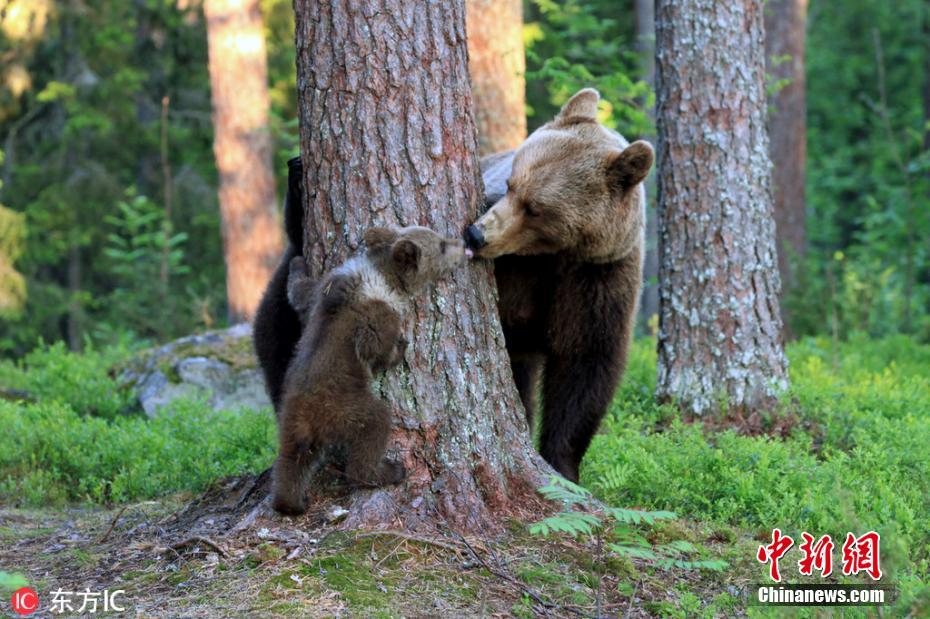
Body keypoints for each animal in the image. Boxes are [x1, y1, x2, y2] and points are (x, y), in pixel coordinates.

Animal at [464, 88, 652, 484]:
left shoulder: (597, 280)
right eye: (511, 184)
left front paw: (562, 466)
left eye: (536, 208)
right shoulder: (518, 276)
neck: (554, 256)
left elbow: (585, 367)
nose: (476, 233)